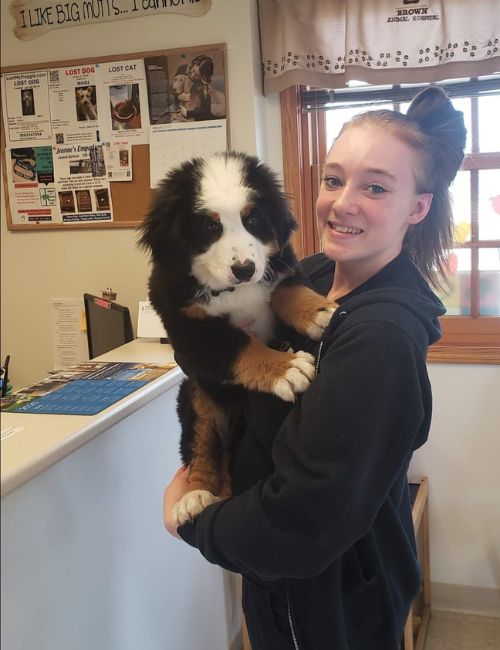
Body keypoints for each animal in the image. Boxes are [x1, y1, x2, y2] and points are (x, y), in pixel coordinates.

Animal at [140, 151, 336, 520]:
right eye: (209, 226)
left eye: (253, 219)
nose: (244, 269)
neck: (233, 290)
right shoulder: (190, 330)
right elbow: (243, 346)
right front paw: (286, 369)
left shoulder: (283, 266)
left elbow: (286, 291)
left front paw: (319, 311)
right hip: (197, 397)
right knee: (202, 447)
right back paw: (195, 496)